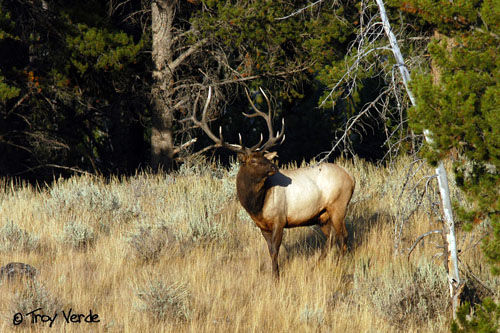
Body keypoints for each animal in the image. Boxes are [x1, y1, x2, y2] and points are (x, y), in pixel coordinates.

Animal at [192, 86, 356, 278]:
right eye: (253, 161)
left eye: (264, 156)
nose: (274, 166)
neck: (256, 206)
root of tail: (352, 178)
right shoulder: (261, 225)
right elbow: (270, 249)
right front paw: (274, 273)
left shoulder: (280, 218)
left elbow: (275, 250)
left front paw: (276, 276)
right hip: (322, 215)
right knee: (330, 237)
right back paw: (316, 266)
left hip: (339, 205)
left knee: (343, 235)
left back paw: (341, 265)